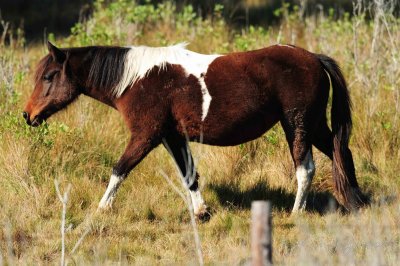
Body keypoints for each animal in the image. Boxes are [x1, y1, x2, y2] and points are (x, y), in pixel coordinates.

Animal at [24, 41, 366, 218]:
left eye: (49, 76)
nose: (28, 115)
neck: (136, 79)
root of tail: (314, 58)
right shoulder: (172, 136)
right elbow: (189, 175)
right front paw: (202, 212)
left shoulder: (146, 135)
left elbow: (119, 169)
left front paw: (101, 209)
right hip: (314, 126)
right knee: (342, 153)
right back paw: (356, 202)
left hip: (297, 125)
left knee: (305, 169)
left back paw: (297, 213)